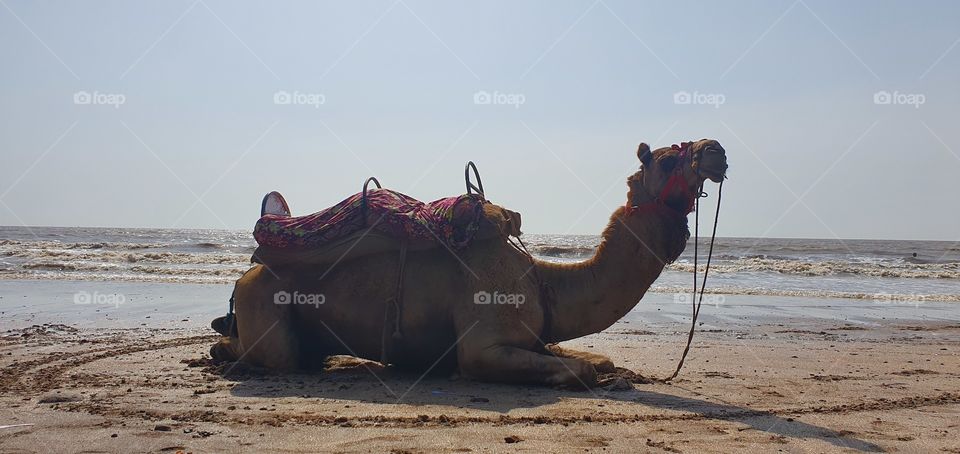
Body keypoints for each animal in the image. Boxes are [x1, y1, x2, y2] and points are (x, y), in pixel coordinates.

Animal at [212, 139, 728, 386]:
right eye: (665, 160)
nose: (715, 149)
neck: (542, 282)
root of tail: (245, 275)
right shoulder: (484, 344)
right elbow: (578, 370)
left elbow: (597, 360)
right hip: (266, 306)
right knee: (271, 354)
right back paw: (221, 349)